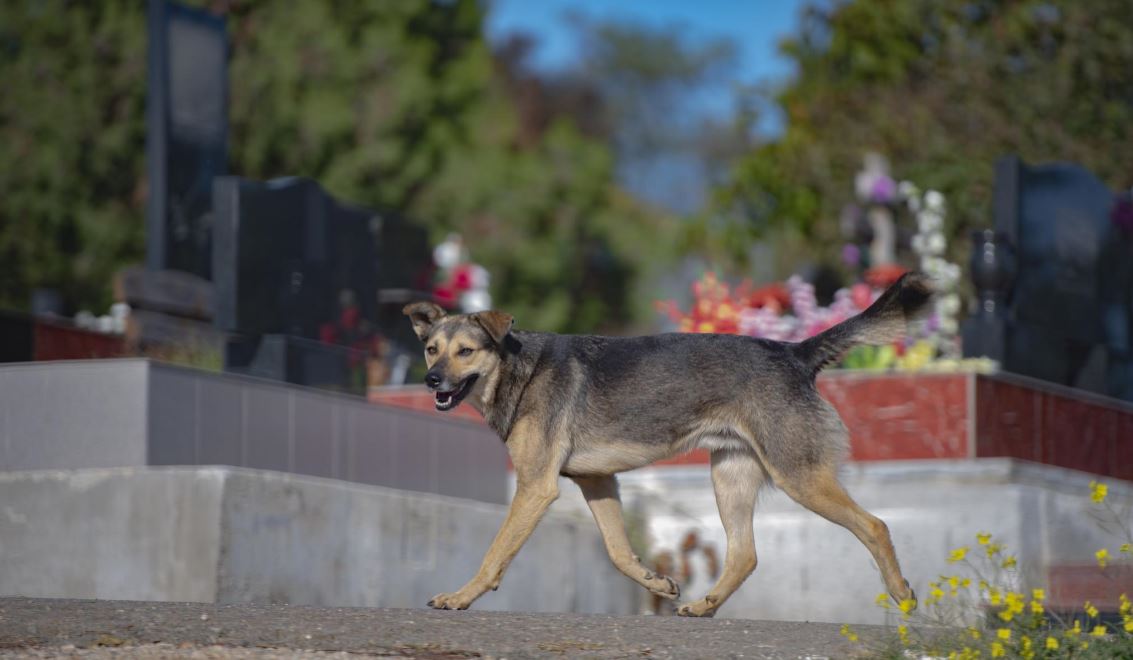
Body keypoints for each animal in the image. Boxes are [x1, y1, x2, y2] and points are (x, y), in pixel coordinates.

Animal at [401, 271, 929, 615]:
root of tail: (796, 353)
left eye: (465, 351)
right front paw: (655, 580)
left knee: (875, 525)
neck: (516, 369)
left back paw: (903, 595)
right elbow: (619, 551)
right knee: (745, 554)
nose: (430, 380)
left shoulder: (535, 487)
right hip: (731, 477)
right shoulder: (596, 481)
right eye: (431, 349)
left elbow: (495, 553)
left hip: (799, 475)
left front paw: (460, 597)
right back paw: (705, 606)